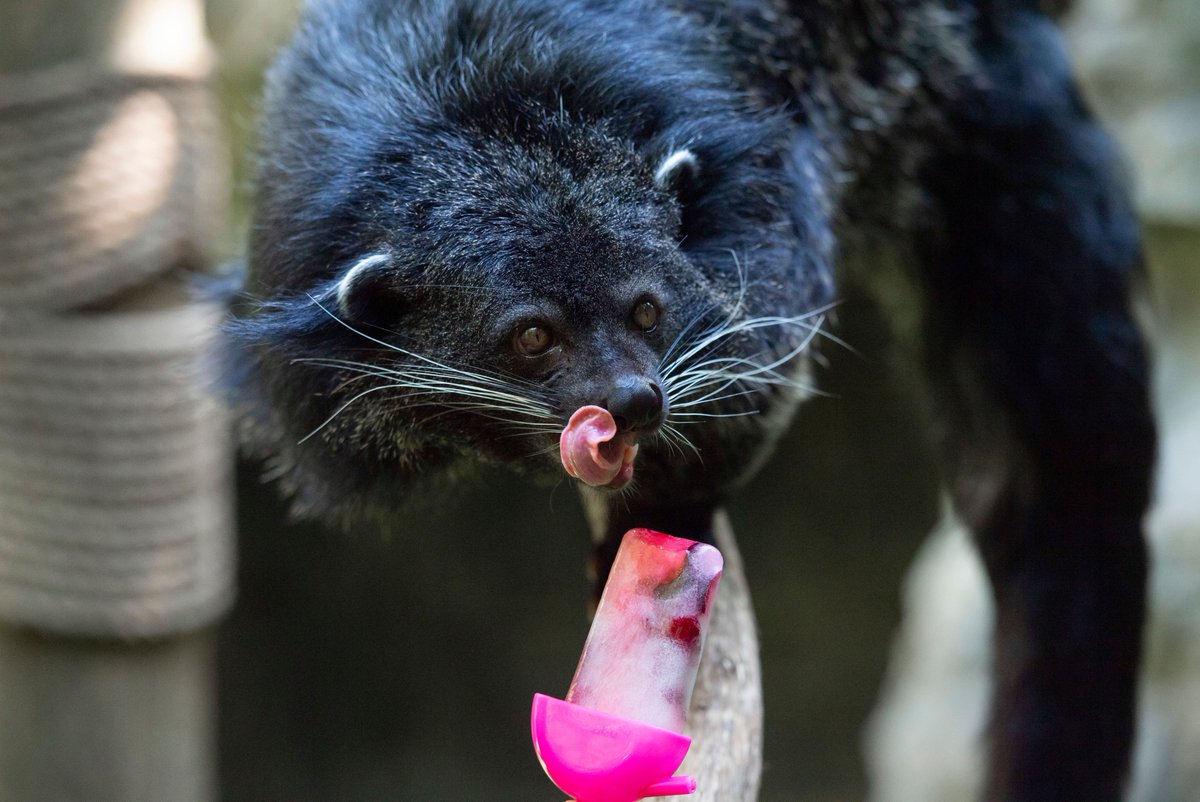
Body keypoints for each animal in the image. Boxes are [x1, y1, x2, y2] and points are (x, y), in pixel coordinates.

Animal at [221, 0, 1157, 798]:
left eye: (646, 308)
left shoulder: (765, 208)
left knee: (1050, 461)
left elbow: (752, 377)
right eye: (533, 336)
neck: (478, 111)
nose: (636, 400)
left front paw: (664, 517)